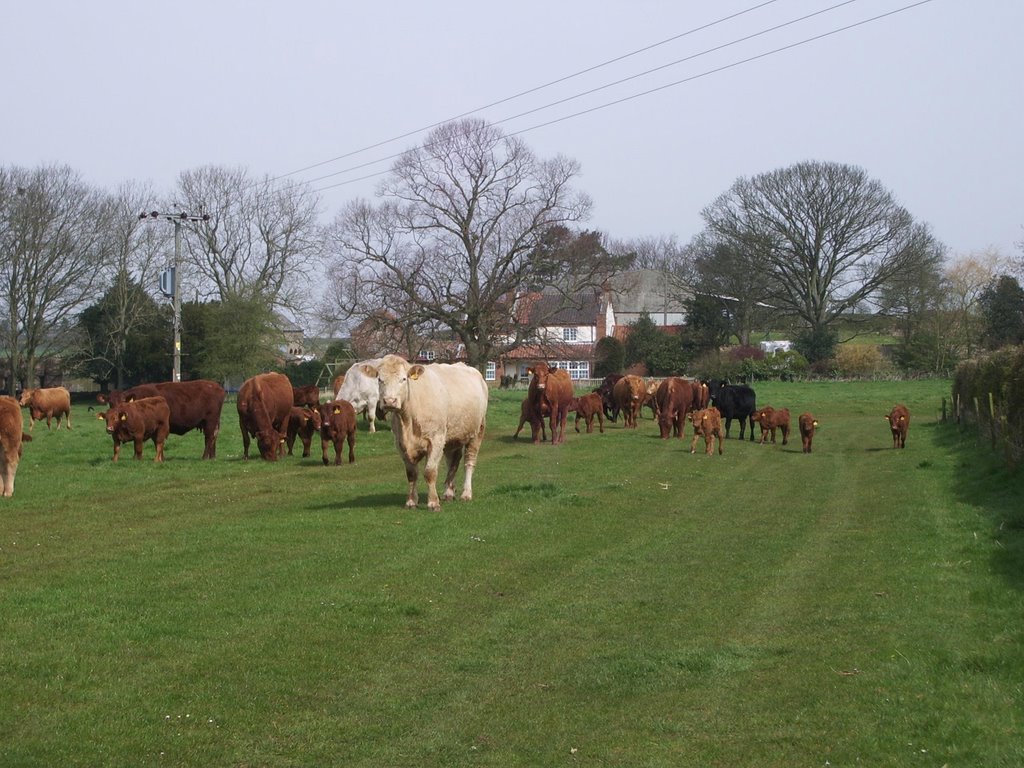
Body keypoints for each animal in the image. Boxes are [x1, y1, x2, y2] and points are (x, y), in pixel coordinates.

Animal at [360, 354, 487, 512]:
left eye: (403, 379)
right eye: (379, 379)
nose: (389, 401)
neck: (407, 420)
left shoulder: (436, 439)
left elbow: (430, 472)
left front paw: (433, 503)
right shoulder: (400, 443)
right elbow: (411, 474)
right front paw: (411, 501)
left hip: (477, 431)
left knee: (469, 462)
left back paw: (466, 493)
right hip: (452, 437)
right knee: (453, 462)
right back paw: (449, 492)